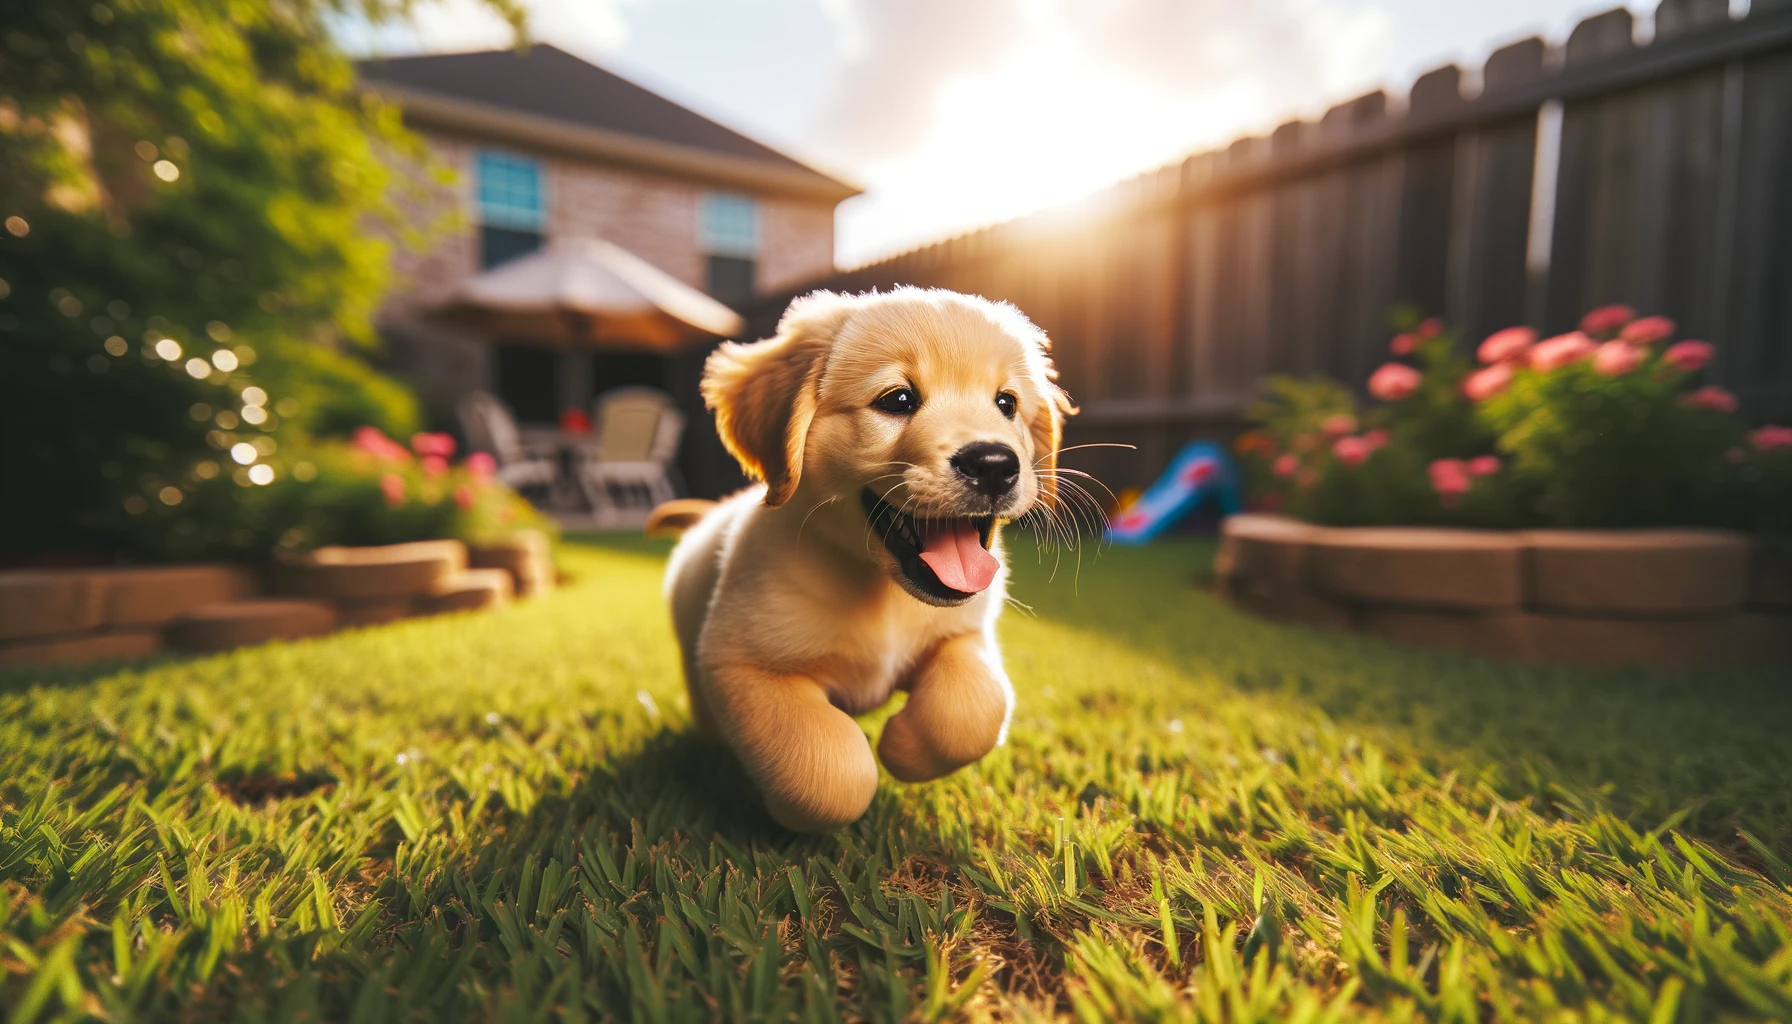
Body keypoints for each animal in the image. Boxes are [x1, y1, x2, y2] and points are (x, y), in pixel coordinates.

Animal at [666, 286, 1068, 832]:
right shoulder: (741, 664)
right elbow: (830, 772)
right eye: (897, 400)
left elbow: (973, 710)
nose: (994, 464)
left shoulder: (966, 633)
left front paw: (902, 746)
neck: (882, 591)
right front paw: (785, 805)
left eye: (1006, 403)